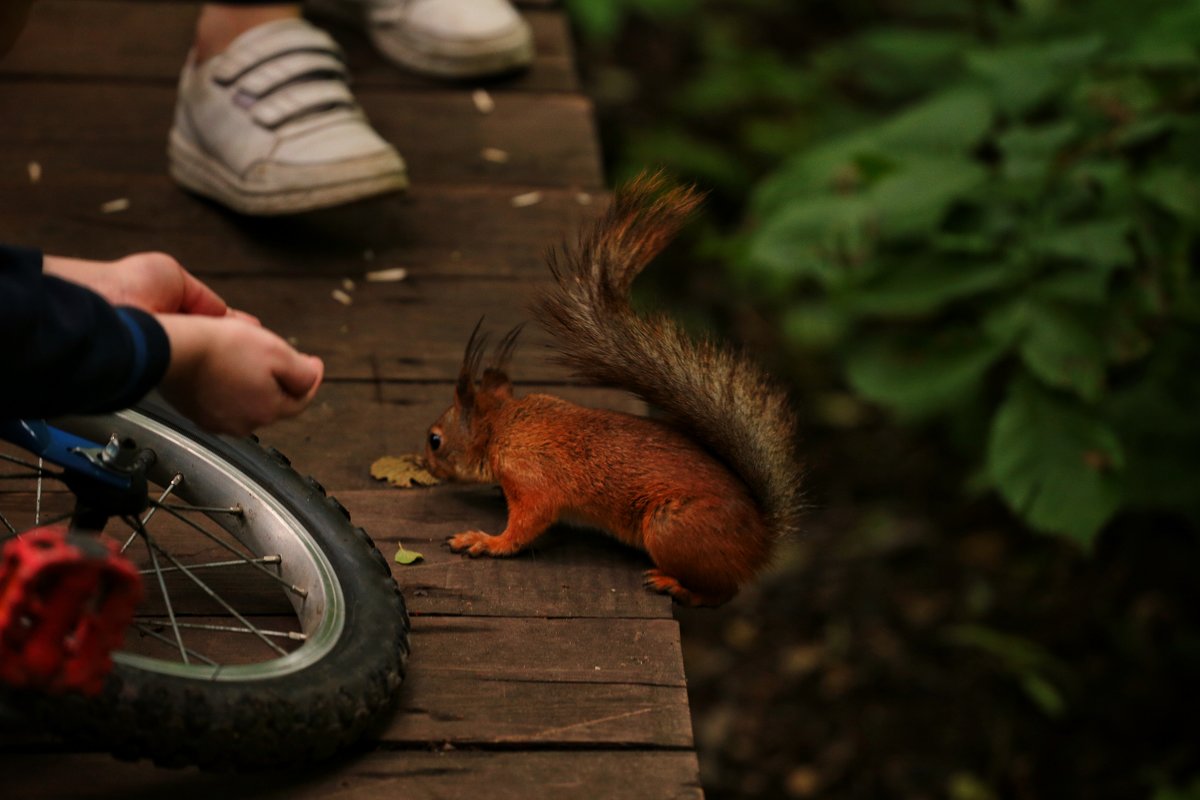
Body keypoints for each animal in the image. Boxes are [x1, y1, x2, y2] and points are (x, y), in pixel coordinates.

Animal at [424, 175, 806, 606]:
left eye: (435, 440)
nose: (425, 464)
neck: (503, 425)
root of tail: (760, 542)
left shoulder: (532, 477)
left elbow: (526, 524)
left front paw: (487, 541)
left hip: (671, 527)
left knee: (722, 592)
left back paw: (674, 585)